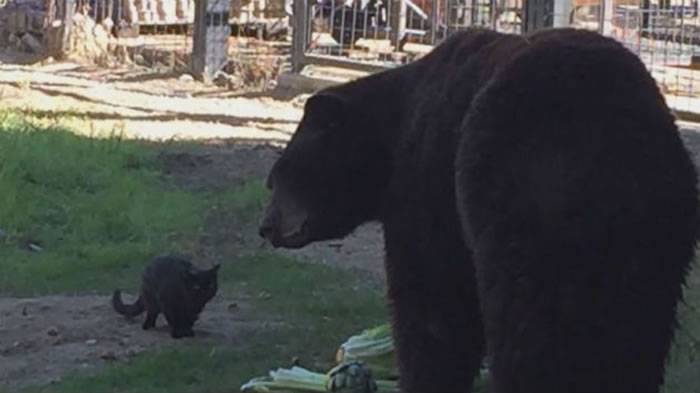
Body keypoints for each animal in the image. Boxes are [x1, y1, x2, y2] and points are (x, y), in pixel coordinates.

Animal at [258, 28, 700, 392]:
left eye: (280, 174)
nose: (265, 227)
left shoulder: (427, 180)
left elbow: (431, 301)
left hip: (519, 202)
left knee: (524, 325)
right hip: (658, 224)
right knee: (637, 326)